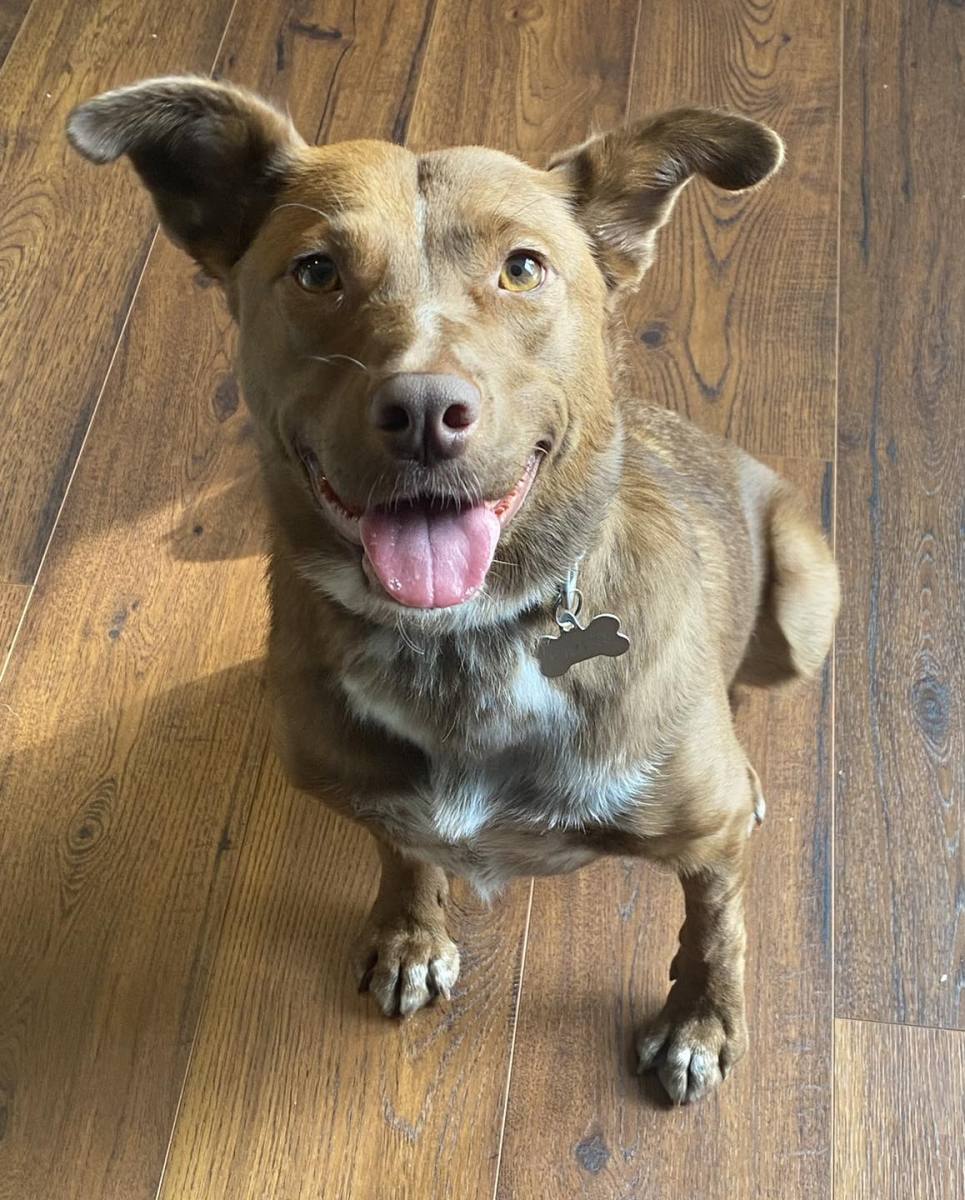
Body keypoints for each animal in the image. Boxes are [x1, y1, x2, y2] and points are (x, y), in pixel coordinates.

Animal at [67, 77, 839, 1105]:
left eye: (523, 269)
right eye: (316, 272)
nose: (425, 411)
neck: (460, 640)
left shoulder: (703, 840)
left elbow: (715, 927)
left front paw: (700, 1023)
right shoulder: (369, 792)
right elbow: (403, 848)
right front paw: (410, 933)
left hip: (803, 601)